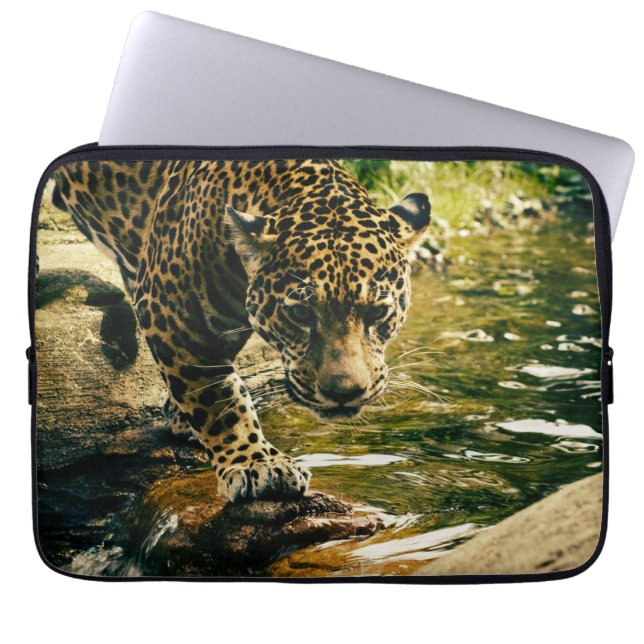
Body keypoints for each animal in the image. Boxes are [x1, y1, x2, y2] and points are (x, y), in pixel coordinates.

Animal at [50, 158, 431, 503]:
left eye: (377, 313)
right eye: (301, 313)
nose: (344, 392)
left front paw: (182, 416)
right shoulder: (173, 313)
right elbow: (218, 398)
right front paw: (255, 463)